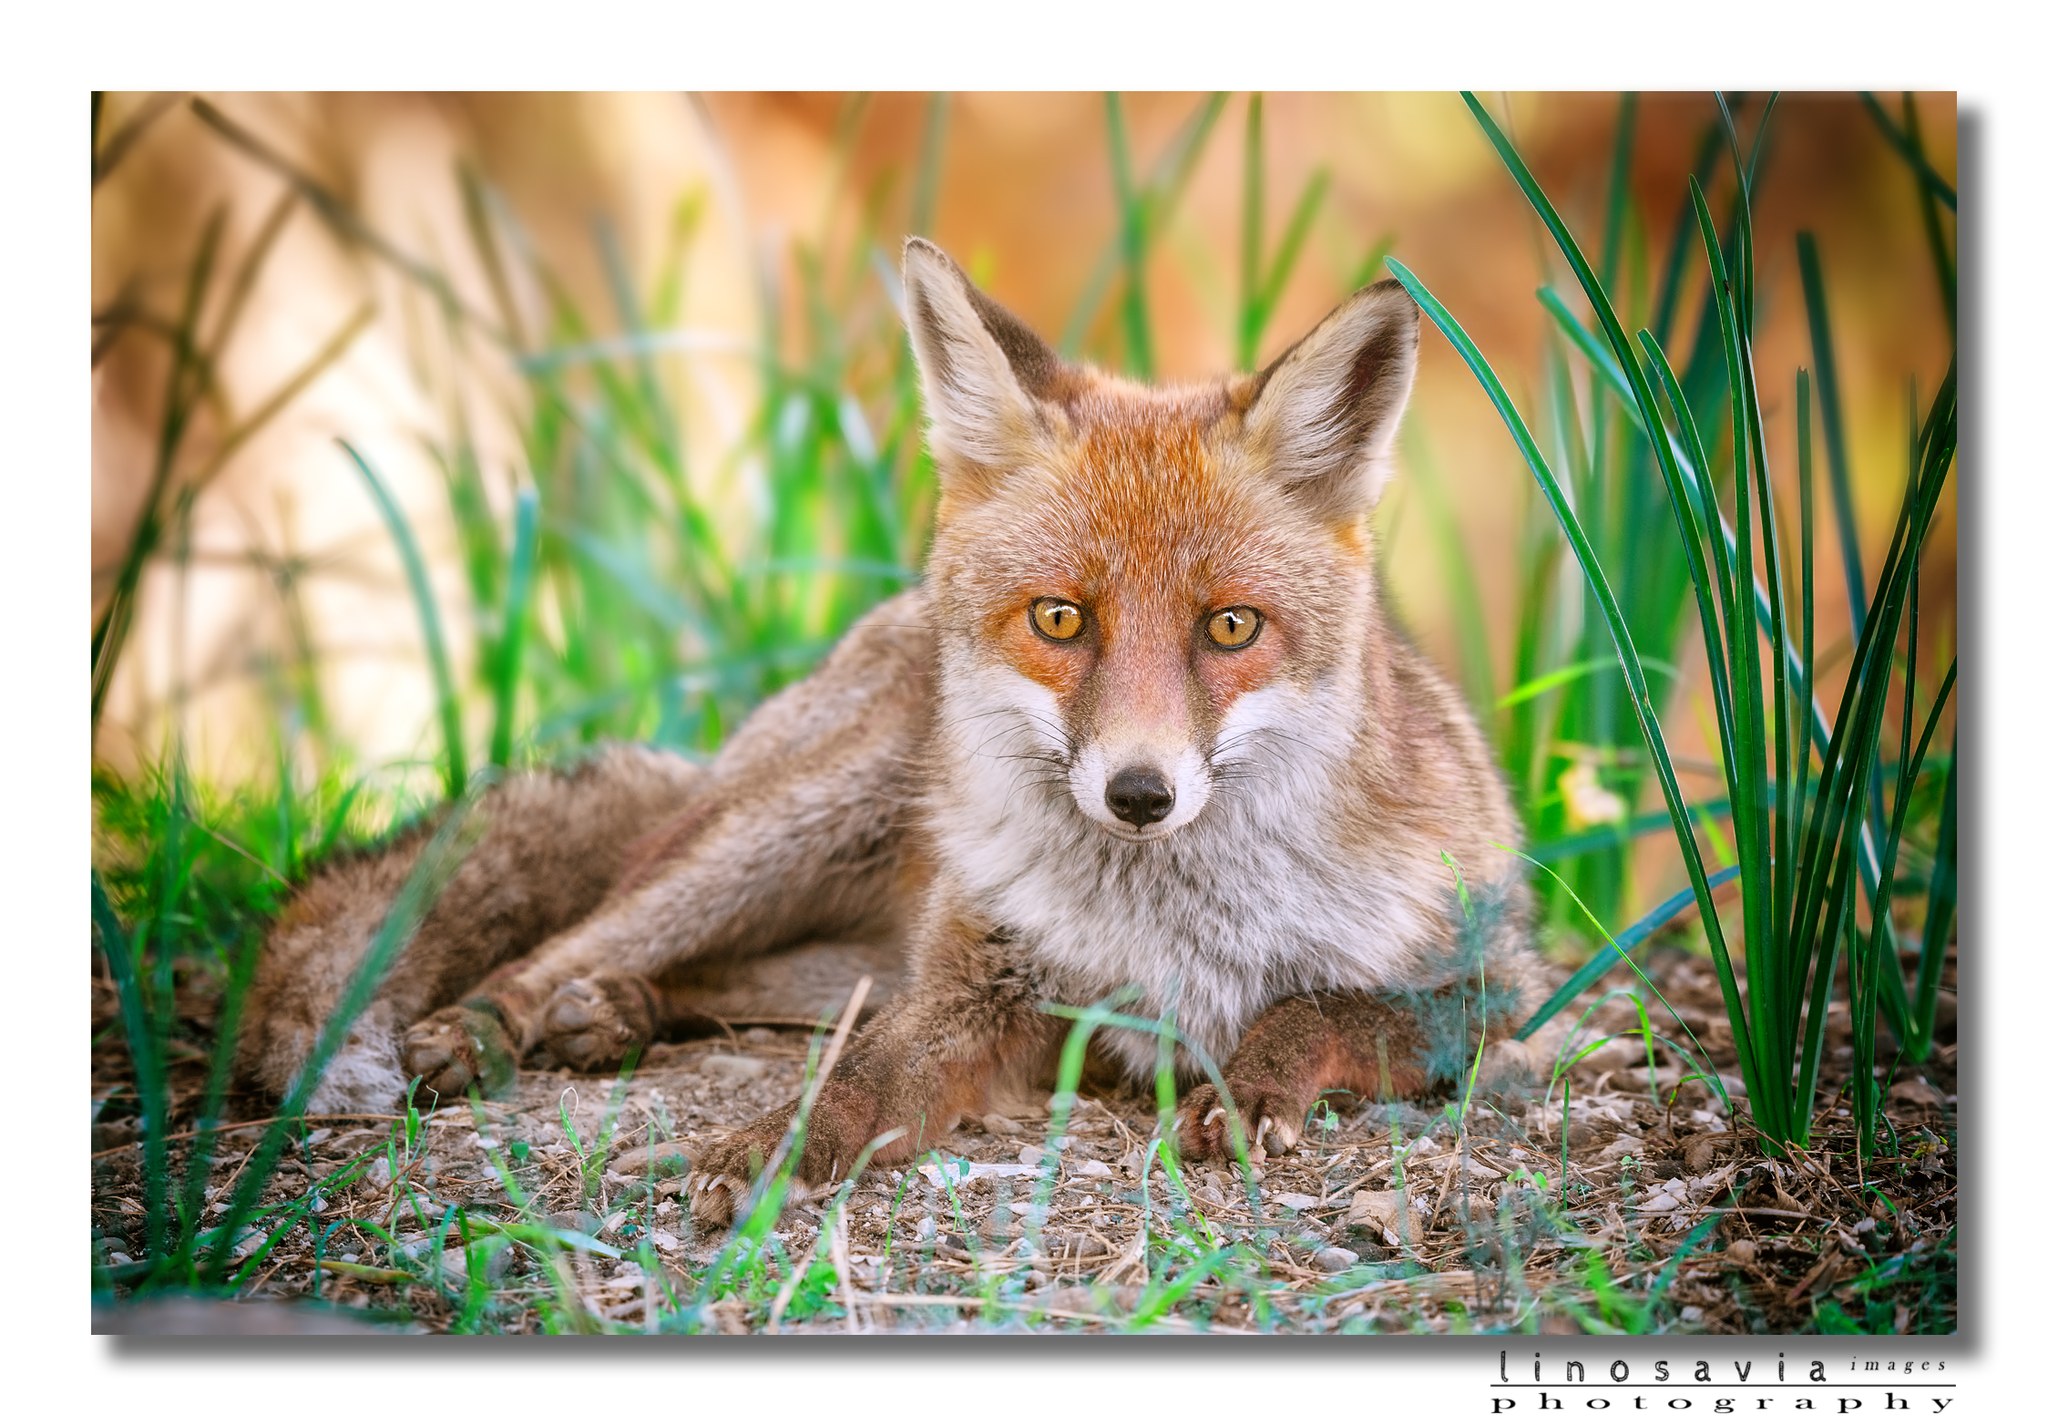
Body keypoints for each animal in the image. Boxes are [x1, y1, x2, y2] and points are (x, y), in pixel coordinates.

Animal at [235, 237, 1543, 1226]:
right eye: (1059, 617)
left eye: (1231, 627)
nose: (1137, 793)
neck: (1174, 928)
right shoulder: (984, 992)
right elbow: (862, 1072)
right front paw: (774, 1142)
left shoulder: (1498, 995)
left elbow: (1323, 1007)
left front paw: (1248, 1087)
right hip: (794, 828)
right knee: (582, 937)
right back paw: (509, 1022)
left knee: (757, 981)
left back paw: (617, 1015)